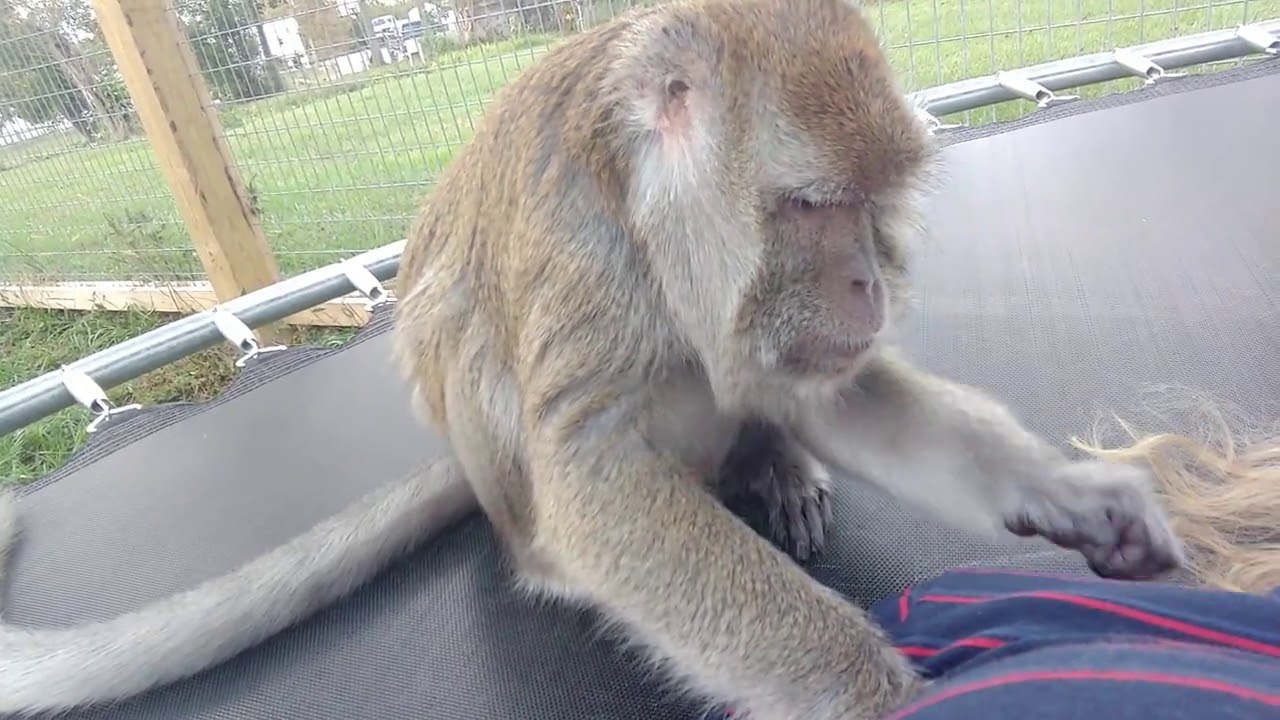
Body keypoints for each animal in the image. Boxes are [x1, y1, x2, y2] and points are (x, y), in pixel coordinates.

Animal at [0, 0, 1185, 717]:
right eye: (811, 206)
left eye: (872, 204)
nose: (867, 283)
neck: (655, 219)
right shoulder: (589, 258)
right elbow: (591, 478)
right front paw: (876, 695)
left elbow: (838, 391)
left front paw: (1069, 491)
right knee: (475, 348)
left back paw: (767, 458)